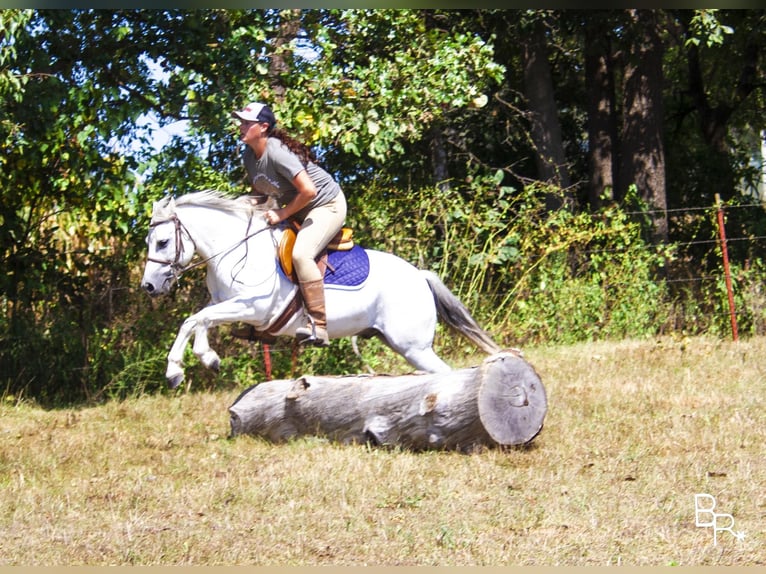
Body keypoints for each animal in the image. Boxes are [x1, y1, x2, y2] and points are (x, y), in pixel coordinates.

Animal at [142, 191, 504, 390]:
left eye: (162, 242)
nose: (148, 286)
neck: (237, 251)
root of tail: (419, 276)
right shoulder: (227, 305)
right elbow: (201, 319)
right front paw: (208, 358)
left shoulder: (254, 307)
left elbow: (193, 320)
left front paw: (174, 371)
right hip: (400, 343)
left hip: (413, 346)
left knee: (445, 375)